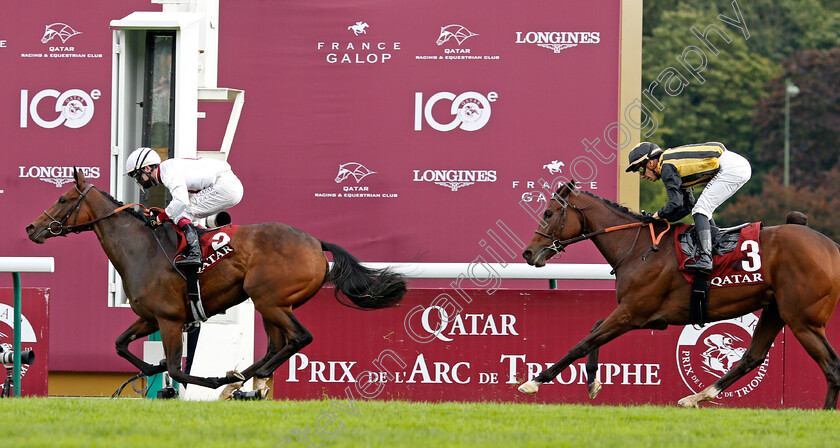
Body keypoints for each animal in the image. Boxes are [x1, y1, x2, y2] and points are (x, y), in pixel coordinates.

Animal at [26, 169, 406, 396]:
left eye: (62, 199)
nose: (32, 228)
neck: (142, 249)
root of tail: (316, 242)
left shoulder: (169, 319)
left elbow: (178, 370)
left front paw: (197, 380)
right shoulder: (150, 317)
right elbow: (120, 344)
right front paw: (153, 367)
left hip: (268, 299)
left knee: (300, 337)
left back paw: (237, 380)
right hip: (272, 305)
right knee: (276, 345)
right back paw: (242, 380)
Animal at [520, 180, 840, 408]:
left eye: (548, 213)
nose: (529, 253)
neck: (637, 248)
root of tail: (833, 248)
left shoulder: (632, 312)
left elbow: (582, 343)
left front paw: (534, 381)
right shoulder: (648, 316)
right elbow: (593, 331)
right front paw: (592, 383)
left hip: (803, 320)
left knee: (832, 365)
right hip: (777, 310)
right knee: (753, 356)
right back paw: (697, 396)